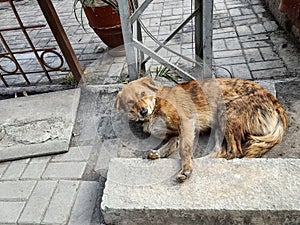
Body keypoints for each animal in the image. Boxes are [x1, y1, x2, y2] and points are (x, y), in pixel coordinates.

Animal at [114, 77, 286, 183]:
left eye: (143, 94)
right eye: (130, 102)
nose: (143, 112)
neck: (156, 105)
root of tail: (275, 102)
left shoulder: (187, 123)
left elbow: (184, 150)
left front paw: (186, 169)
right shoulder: (175, 133)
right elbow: (169, 144)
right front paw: (158, 153)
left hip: (225, 112)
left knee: (235, 151)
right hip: (219, 125)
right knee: (222, 150)